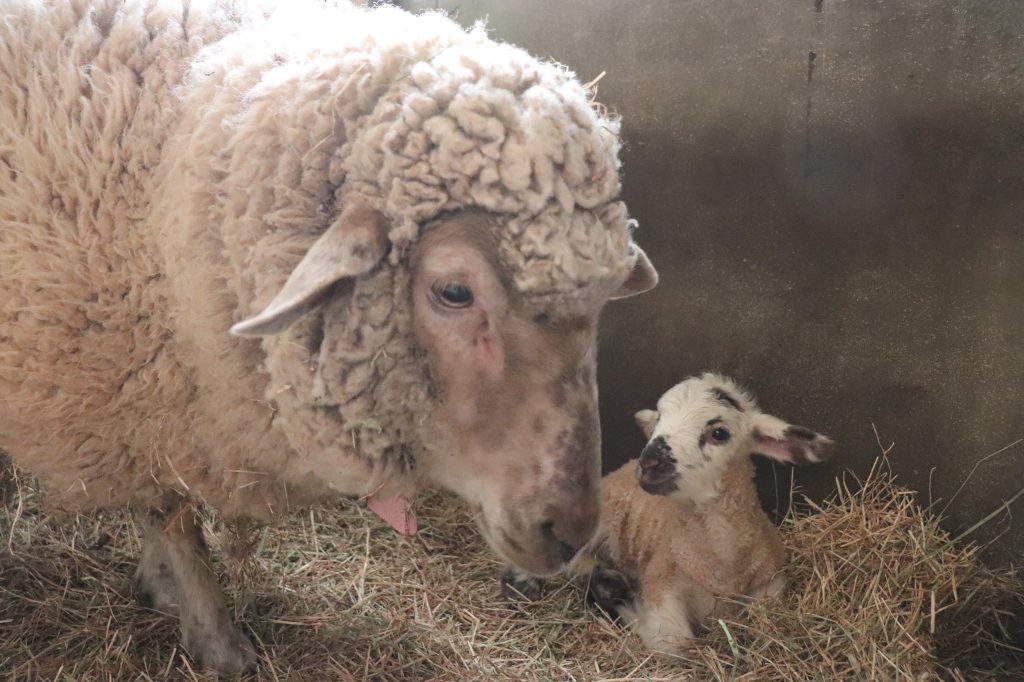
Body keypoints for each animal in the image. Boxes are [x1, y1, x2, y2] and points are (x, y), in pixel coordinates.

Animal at [0, 0, 655, 667]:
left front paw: (164, 586)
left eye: (602, 299)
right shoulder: (133, 399)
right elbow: (173, 515)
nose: (570, 532)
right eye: (454, 292)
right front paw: (212, 633)